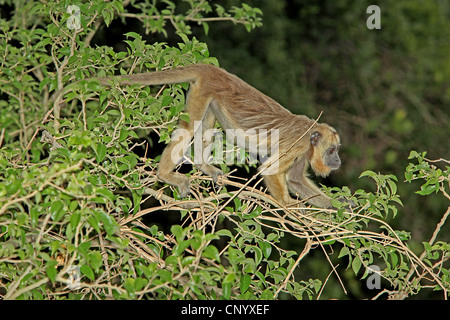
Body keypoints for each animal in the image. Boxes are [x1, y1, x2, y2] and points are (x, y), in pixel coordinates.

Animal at [96, 64, 342, 208]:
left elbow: (295, 180)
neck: (310, 135)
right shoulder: (298, 145)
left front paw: (340, 206)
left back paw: (203, 166)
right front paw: (289, 205)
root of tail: (213, 70)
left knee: (207, 128)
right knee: (187, 130)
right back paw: (165, 174)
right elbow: (270, 171)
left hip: (210, 97)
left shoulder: (303, 153)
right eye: (332, 150)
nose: (338, 160)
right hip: (203, 89)